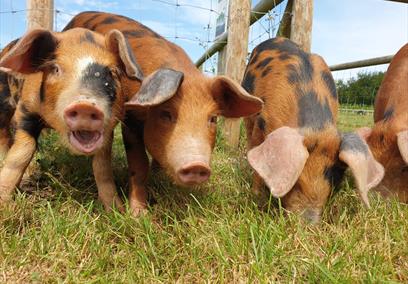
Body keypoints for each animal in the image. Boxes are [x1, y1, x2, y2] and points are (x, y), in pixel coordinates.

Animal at [0, 27, 145, 212]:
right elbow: (21, 154)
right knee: (4, 134)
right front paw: (4, 205)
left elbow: (102, 167)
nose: (85, 105)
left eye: (112, 72)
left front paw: (115, 210)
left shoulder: (108, 130)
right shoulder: (25, 112)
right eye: (55, 69)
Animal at [63, 10, 262, 215]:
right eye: (166, 114)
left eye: (213, 118)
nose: (197, 165)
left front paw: (158, 175)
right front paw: (139, 214)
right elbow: (139, 165)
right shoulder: (131, 121)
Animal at [244, 37, 384, 222]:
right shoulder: (261, 123)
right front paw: (257, 200)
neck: (316, 129)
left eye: (334, 179)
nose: (308, 224)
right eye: (296, 181)